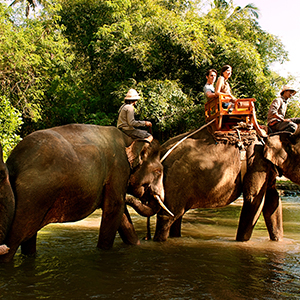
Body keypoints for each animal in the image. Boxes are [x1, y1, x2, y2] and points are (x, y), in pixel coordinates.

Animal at [0, 123, 165, 262]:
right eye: (158, 171)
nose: (146, 238)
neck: (129, 139)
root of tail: (14, 162)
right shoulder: (119, 168)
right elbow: (114, 208)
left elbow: (121, 213)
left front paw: (137, 246)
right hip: (32, 197)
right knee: (15, 237)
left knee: (28, 236)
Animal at [152, 123, 300, 243]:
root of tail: (161, 152)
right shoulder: (256, 162)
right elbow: (254, 200)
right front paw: (241, 242)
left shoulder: (266, 167)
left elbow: (272, 201)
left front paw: (278, 242)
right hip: (174, 180)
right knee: (167, 217)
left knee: (177, 216)